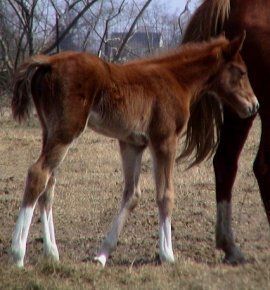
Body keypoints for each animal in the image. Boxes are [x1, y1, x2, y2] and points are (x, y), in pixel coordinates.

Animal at [10, 34, 258, 268]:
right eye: (242, 72)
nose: (254, 106)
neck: (176, 80)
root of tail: (49, 61)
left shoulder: (133, 144)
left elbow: (132, 194)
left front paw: (102, 255)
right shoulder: (164, 140)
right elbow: (165, 195)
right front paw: (167, 255)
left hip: (49, 130)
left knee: (49, 183)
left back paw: (52, 253)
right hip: (66, 131)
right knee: (38, 174)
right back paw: (18, 254)